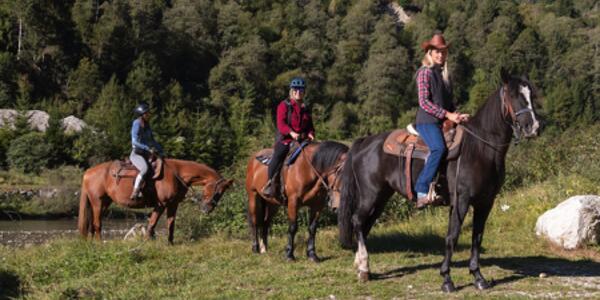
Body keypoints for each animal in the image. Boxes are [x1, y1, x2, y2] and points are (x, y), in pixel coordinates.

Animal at [77, 158, 232, 245]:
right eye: (217, 191)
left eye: (222, 193)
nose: (207, 210)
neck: (176, 174)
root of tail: (88, 172)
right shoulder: (161, 204)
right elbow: (152, 223)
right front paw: (148, 241)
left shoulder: (173, 204)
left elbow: (170, 224)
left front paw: (170, 243)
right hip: (97, 202)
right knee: (97, 224)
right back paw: (99, 244)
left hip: (104, 203)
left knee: (92, 224)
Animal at [340, 69, 540, 292]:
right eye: (513, 95)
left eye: (531, 95)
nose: (534, 127)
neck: (480, 148)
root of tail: (364, 142)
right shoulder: (461, 200)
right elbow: (452, 236)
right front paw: (447, 279)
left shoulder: (485, 202)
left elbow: (477, 237)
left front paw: (479, 277)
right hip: (370, 194)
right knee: (358, 221)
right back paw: (364, 267)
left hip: (382, 196)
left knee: (366, 224)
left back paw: (362, 266)